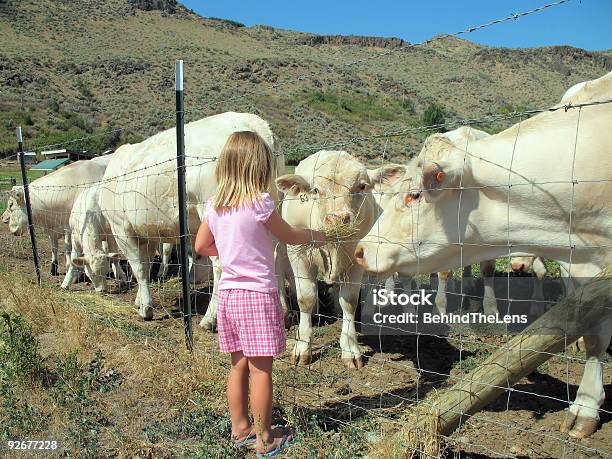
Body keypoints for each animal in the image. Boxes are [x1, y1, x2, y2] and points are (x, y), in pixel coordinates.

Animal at [97, 112, 284, 322]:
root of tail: (254, 124)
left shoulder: (120, 228)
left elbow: (138, 267)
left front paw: (145, 308)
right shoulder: (148, 232)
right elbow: (146, 263)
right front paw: (140, 300)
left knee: (220, 266)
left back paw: (210, 319)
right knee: (275, 255)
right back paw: (282, 309)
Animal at [278, 152, 406, 370]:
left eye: (362, 186)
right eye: (315, 190)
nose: (338, 219)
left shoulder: (356, 262)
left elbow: (349, 301)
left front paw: (350, 348)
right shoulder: (298, 254)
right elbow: (306, 298)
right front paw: (302, 347)